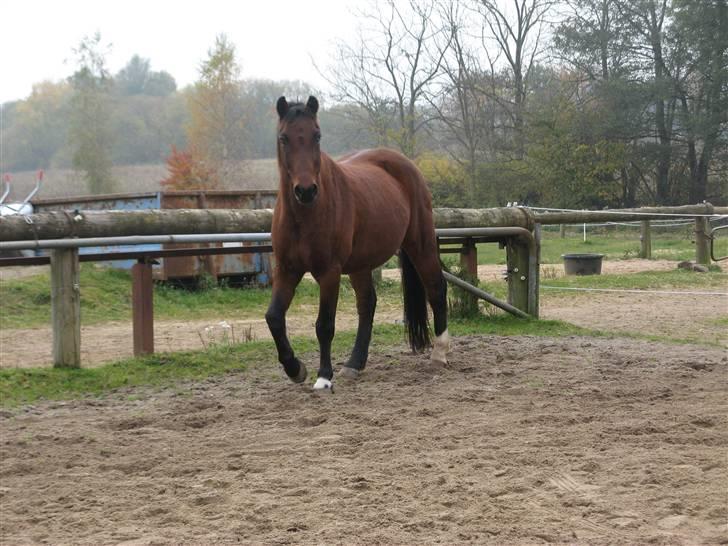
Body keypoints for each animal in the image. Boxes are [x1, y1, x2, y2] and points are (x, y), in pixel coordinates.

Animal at [265, 95, 449, 392]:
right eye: (284, 138)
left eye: (317, 135)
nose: (306, 190)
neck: (304, 215)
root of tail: (406, 164)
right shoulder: (286, 270)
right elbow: (273, 318)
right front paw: (295, 369)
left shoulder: (329, 273)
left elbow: (324, 325)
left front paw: (323, 377)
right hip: (361, 264)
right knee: (367, 304)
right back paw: (354, 363)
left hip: (420, 244)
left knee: (436, 288)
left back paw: (440, 354)